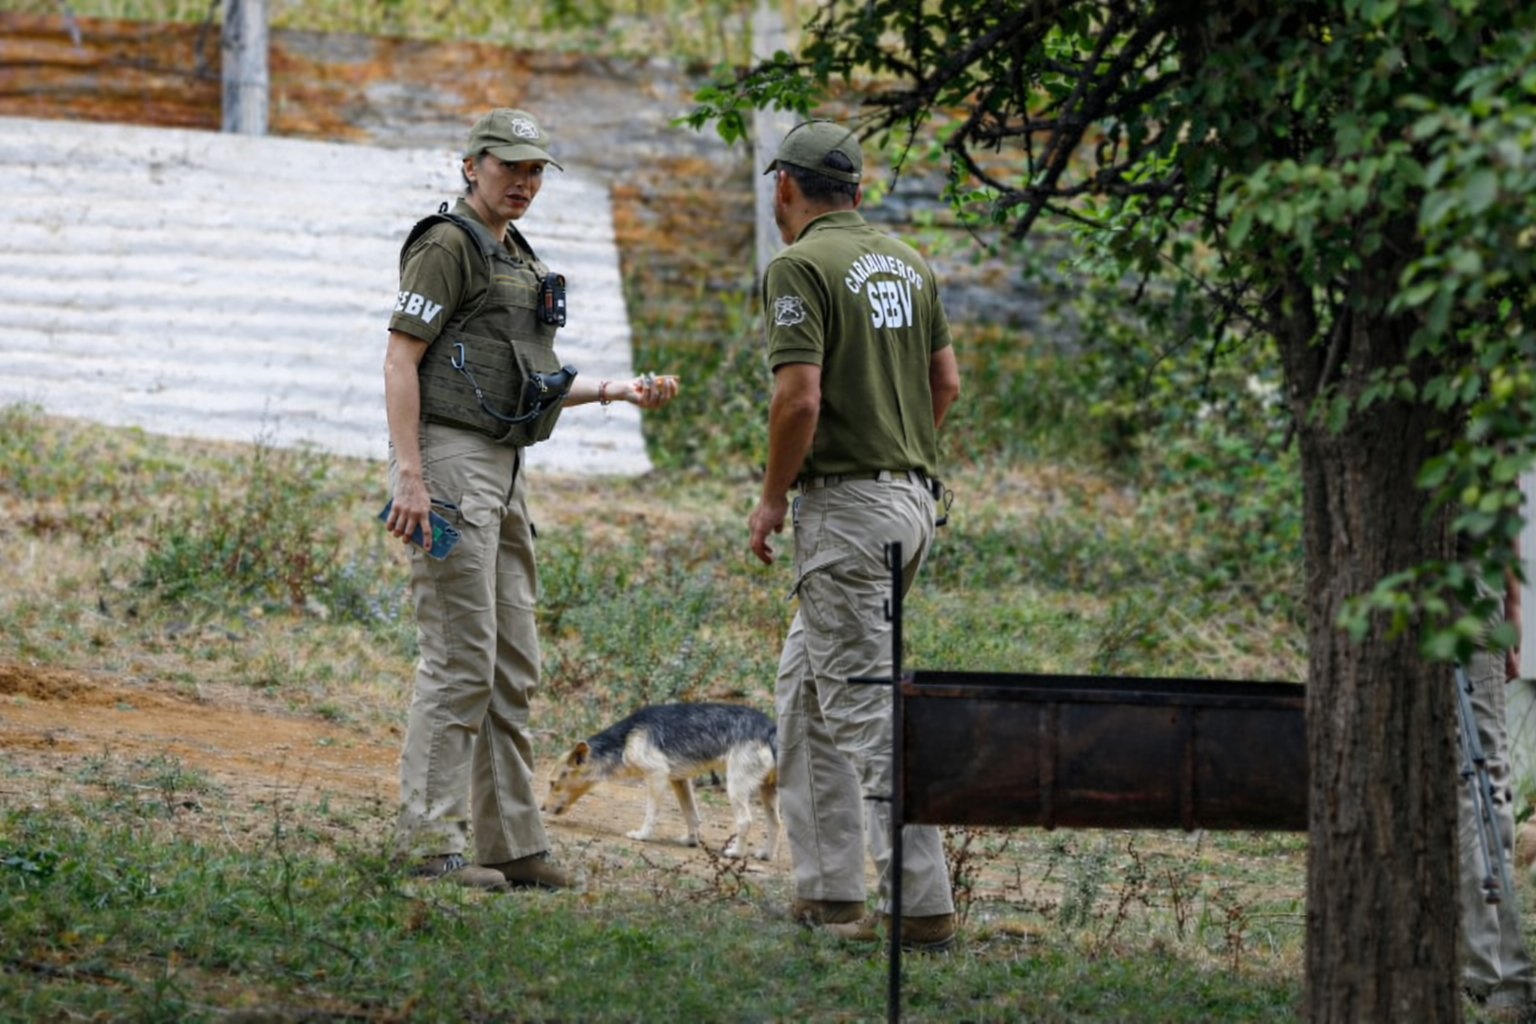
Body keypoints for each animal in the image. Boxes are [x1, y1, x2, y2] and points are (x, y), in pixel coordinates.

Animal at [543, 702, 780, 860]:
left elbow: (651, 814)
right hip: (767, 792)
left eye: (552, 783)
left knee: (745, 821)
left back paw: (736, 853)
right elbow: (692, 816)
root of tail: (770, 728)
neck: (625, 739)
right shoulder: (679, 780)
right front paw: (690, 841)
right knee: (775, 824)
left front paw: (642, 835)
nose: (541, 808)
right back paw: (765, 854)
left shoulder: (656, 775)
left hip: (735, 786)